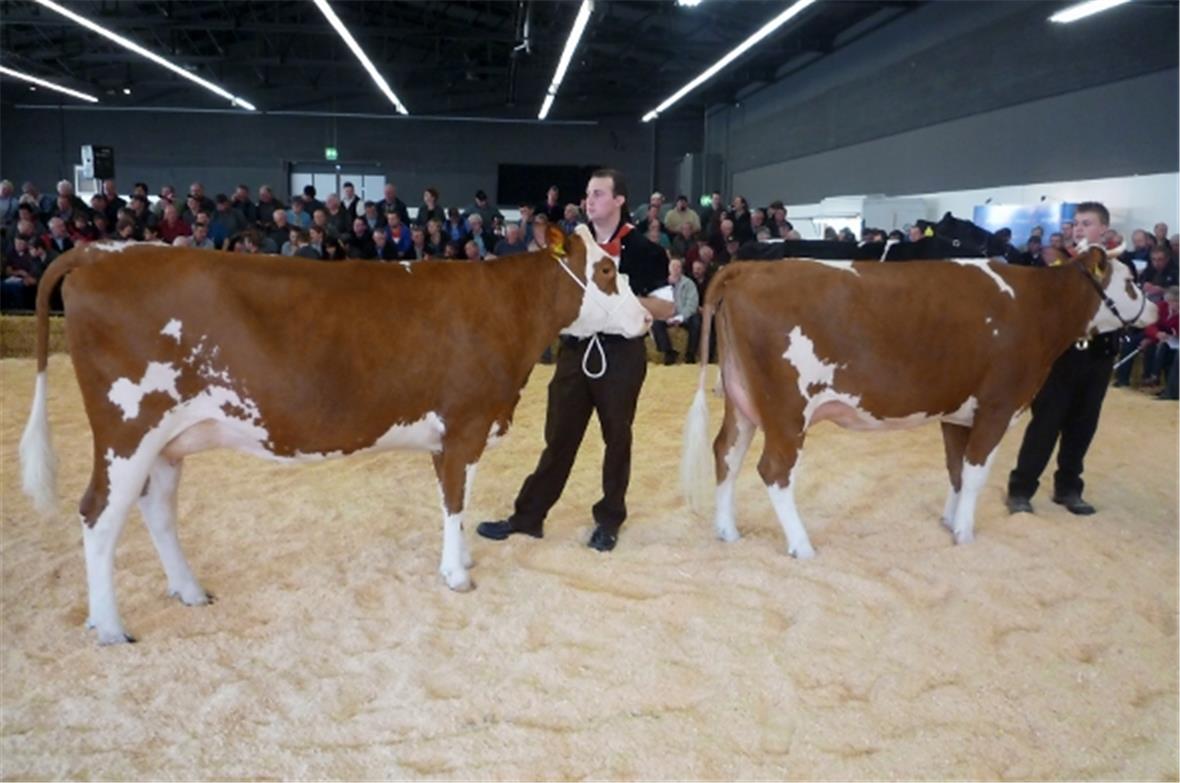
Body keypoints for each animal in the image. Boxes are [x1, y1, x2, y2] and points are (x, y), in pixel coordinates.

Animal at [19, 225, 650, 645]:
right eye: (605, 271)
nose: (647, 319)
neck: (504, 311)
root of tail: (103, 249)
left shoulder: (448, 436)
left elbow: (454, 501)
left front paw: (463, 561)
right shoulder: (465, 424)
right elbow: (455, 502)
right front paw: (456, 575)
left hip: (168, 440)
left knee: (157, 511)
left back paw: (190, 591)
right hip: (127, 428)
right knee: (98, 515)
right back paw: (110, 627)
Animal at [680, 246, 1155, 557]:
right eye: (1132, 282)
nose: (1154, 310)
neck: (1036, 306)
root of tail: (750, 268)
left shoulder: (958, 413)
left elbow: (956, 470)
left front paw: (949, 522)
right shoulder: (997, 407)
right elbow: (975, 474)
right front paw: (965, 534)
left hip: (743, 401)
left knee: (727, 454)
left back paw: (727, 531)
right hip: (785, 409)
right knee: (773, 470)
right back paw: (802, 545)